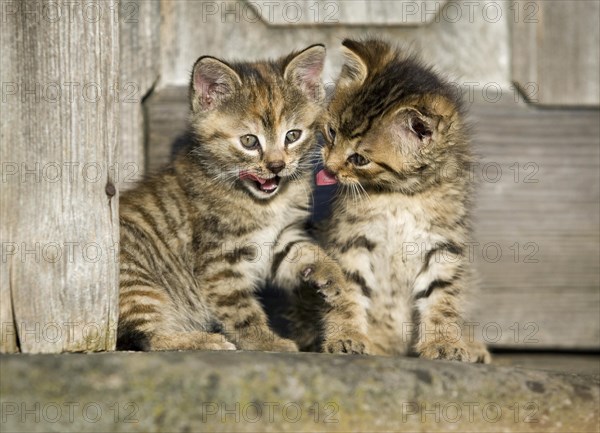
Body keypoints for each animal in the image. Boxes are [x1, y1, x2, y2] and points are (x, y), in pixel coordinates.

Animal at [116, 45, 352, 352]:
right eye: (249, 141)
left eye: (292, 135)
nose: (276, 166)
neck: (264, 203)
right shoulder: (220, 261)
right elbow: (240, 310)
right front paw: (266, 342)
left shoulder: (278, 239)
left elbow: (307, 251)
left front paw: (332, 275)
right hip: (137, 283)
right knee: (147, 338)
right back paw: (203, 340)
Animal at [302, 38, 490, 362]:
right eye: (331, 132)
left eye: (359, 159)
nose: (329, 167)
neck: (400, 196)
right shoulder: (351, 239)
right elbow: (345, 292)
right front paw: (346, 337)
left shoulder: (443, 244)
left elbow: (443, 298)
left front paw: (444, 343)